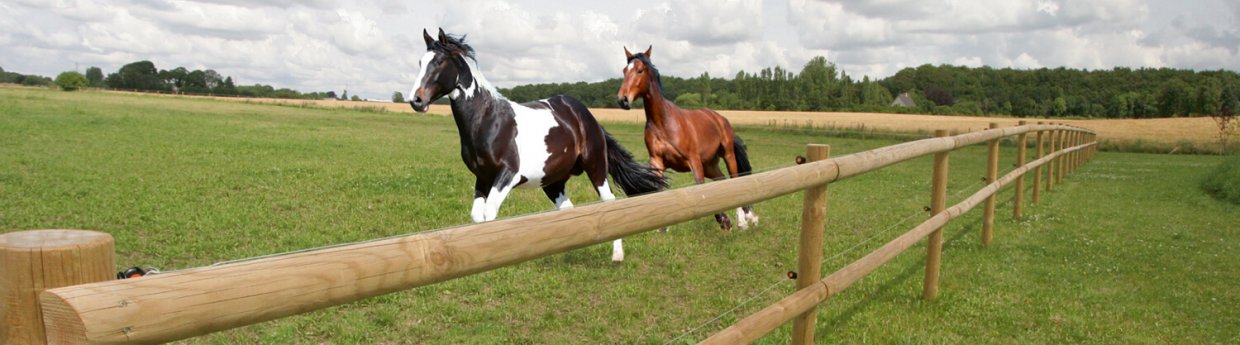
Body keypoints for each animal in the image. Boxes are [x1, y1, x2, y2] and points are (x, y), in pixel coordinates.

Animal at [406, 29, 664, 261]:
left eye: (439, 62)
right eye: (420, 62)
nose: (415, 100)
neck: (488, 120)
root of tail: (587, 117)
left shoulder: (507, 175)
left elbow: (489, 214)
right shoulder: (483, 178)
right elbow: (477, 217)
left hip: (596, 168)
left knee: (609, 203)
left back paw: (617, 256)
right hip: (553, 181)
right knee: (567, 210)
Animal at [617, 44, 753, 230]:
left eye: (639, 70)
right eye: (625, 70)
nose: (622, 100)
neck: (664, 123)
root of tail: (720, 118)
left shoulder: (693, 161)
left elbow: (700, 187)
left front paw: (724, 219)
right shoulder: (657, 162)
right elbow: (659, 188)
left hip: (727, 155)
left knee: (734, 180)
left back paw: (743, 221)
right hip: (710, 165)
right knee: (721, 181)